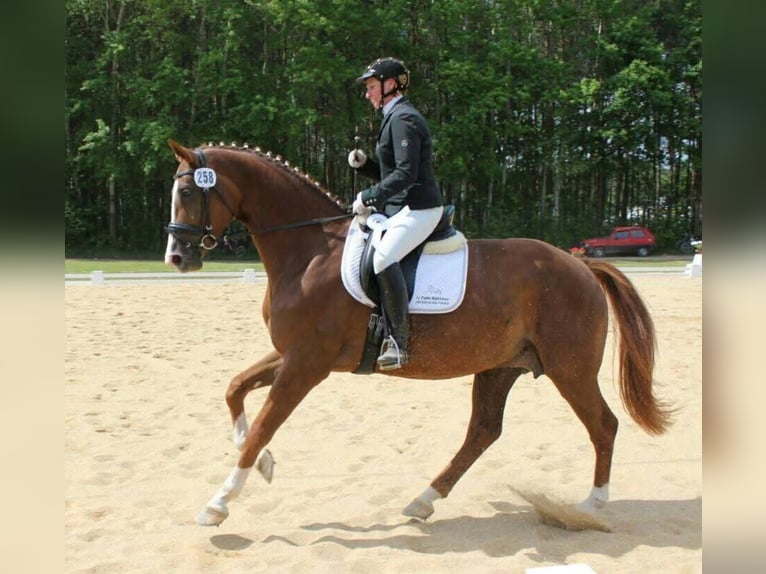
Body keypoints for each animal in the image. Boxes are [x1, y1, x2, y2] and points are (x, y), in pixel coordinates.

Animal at [163, 139, 672, 527]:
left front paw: (218, 503)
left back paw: (591, 506)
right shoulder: (291, 355)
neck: (309, 252)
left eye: (187, 190)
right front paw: (266, 465)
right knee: (483, 432)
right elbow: (235, 391)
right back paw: (422, 501)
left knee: (602, 425)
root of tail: (580, 264)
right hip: (501, 366)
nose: (177, 257)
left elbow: (262, 426)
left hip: (571, 369)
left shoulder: (306, 365)